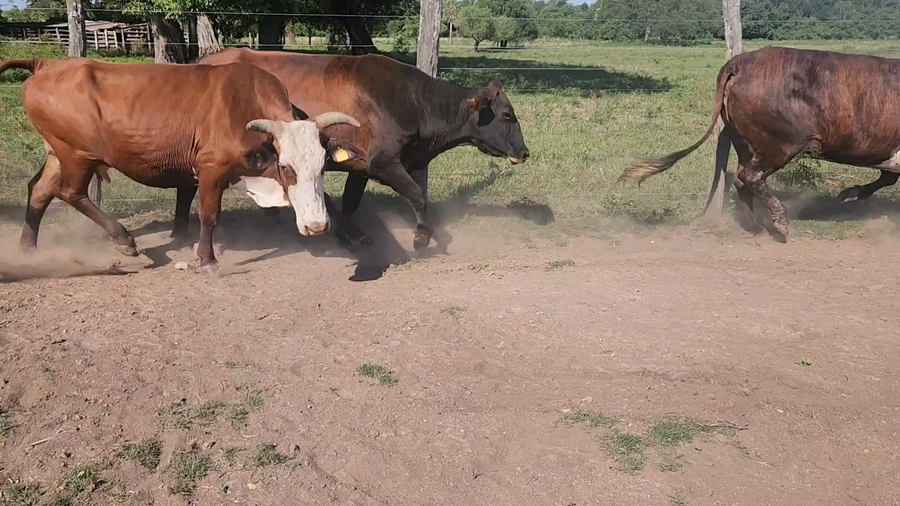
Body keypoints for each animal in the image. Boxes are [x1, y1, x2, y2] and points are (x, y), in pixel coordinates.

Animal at [0, 57, 359, 271]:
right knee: (70, 192)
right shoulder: (212, 170)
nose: (316, 226)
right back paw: (124, 239)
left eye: (323, 167)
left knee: (40, 191)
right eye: (286, 168)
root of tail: (46, 63)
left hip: (58, 153)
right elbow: (208, 215)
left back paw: (29, 248)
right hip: (77, 154)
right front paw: (206, 258)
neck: (243, 104)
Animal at [189, 48, 530, 253]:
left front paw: (349, 232)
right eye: (506, 115)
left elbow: (352, 200)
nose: (525, 152)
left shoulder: (361, 165)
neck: (412, 100)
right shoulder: (385, 162)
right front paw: (421, 236)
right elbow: (417, 194)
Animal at [618, 46, 900, 242]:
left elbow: (888, 177)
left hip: (743, 140)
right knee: (751, 176)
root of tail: (741, 62)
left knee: (742, 179)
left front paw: (849, 194)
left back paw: (754, 225)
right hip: (782, 143)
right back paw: (780, 223)